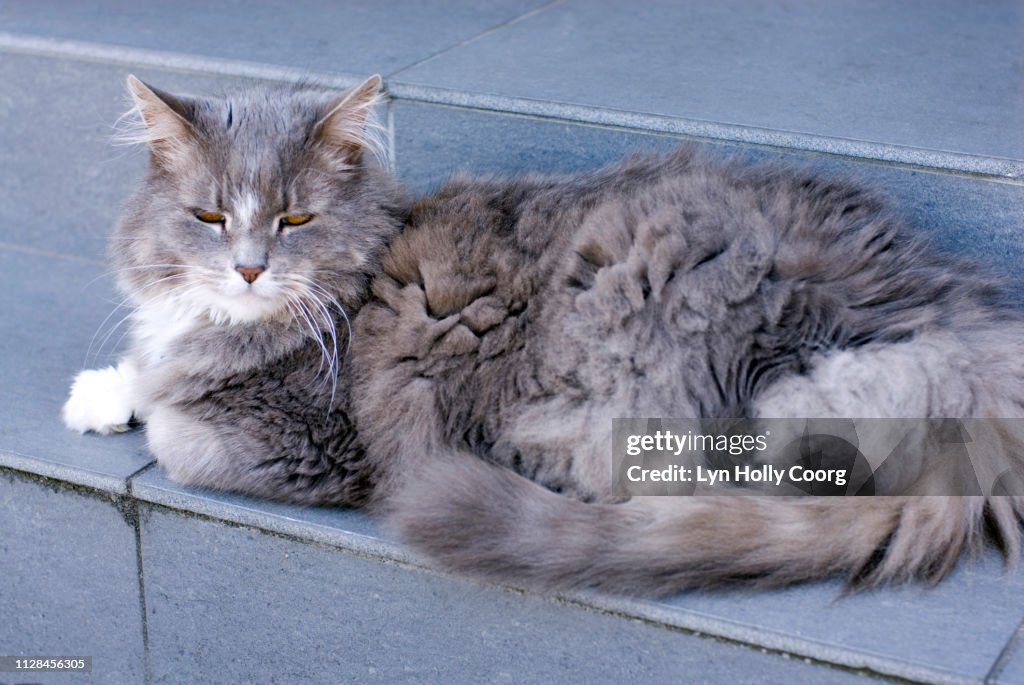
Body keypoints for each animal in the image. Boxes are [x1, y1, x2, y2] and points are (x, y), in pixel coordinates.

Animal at [61, 72, 1024, 589]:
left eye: (295, 219)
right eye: (209, 216)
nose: (251, 268)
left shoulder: (311, 439)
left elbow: (178, 429)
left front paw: (141, 402)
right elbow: (143, 371)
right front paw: (101, 395)